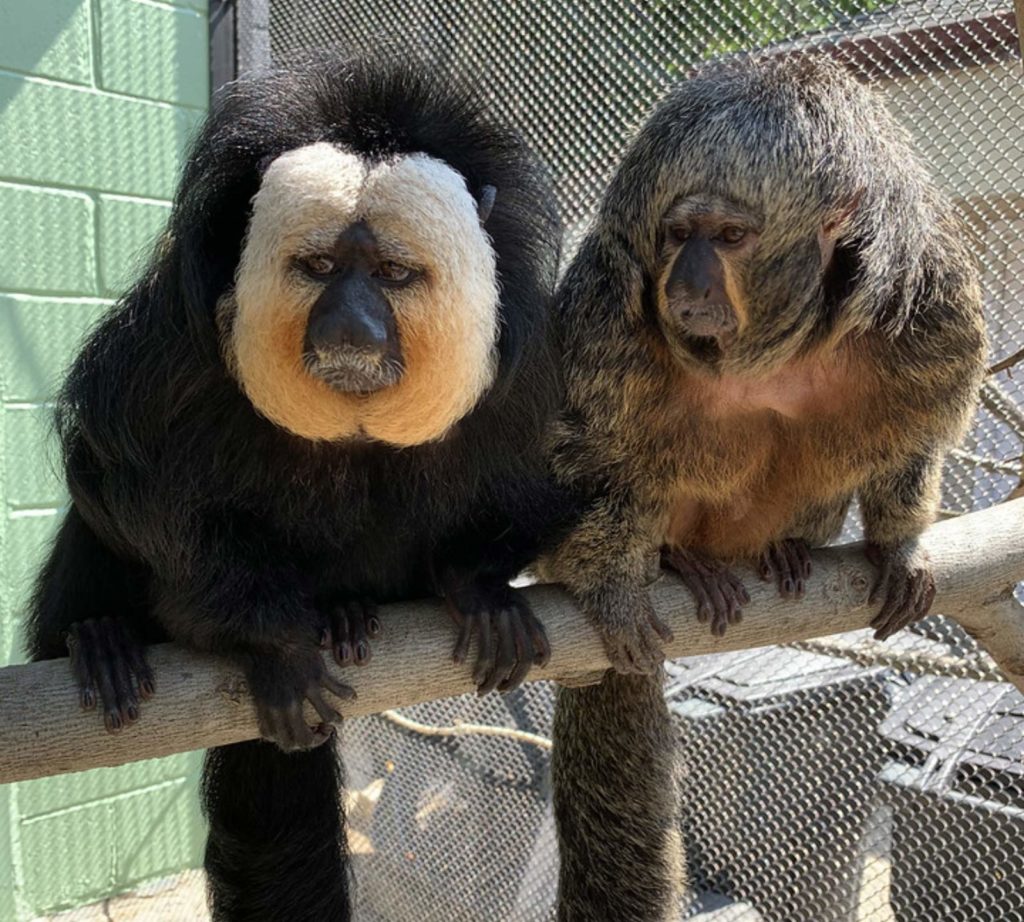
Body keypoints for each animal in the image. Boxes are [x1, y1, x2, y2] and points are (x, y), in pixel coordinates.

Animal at [548, 57, 987, 922]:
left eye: (728, 237)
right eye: (676, 236)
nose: (684, 283)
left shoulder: (932, 296)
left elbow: (917, 435)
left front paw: (901, 541)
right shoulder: (604, 305)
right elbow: (583, 451)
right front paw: (613, 587)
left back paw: (783, 549)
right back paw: (678, 561)